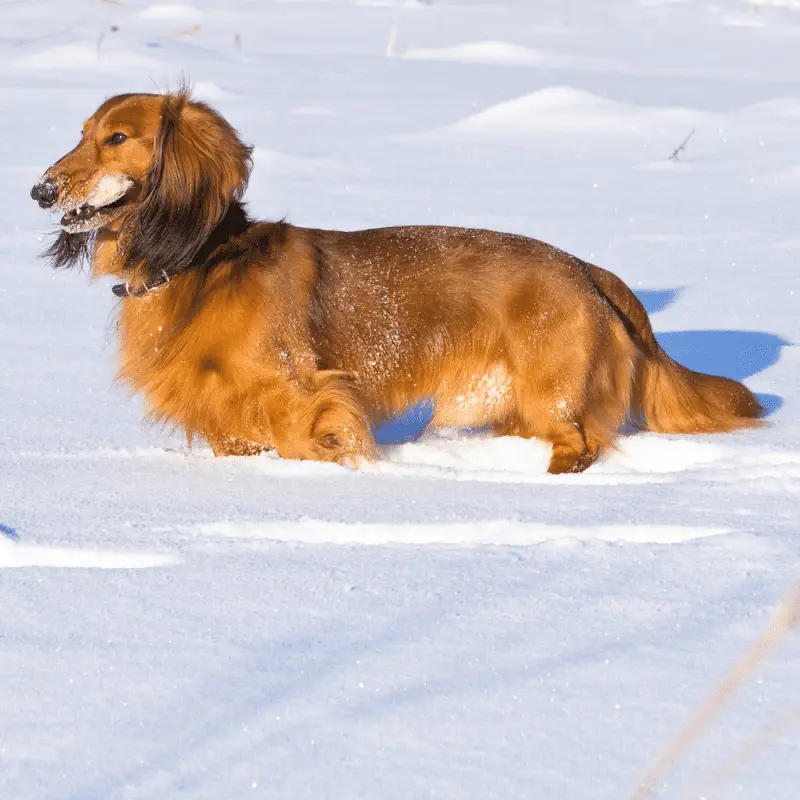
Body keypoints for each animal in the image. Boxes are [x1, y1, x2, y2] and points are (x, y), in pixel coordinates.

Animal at [29, 90, 764, 472]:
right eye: (82, 133)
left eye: (118, 138)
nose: (40, 190)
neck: (203, 263)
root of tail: (587, 269)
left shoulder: (306, 393)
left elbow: (304, 439)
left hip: (553, 391)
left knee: (580, 442)